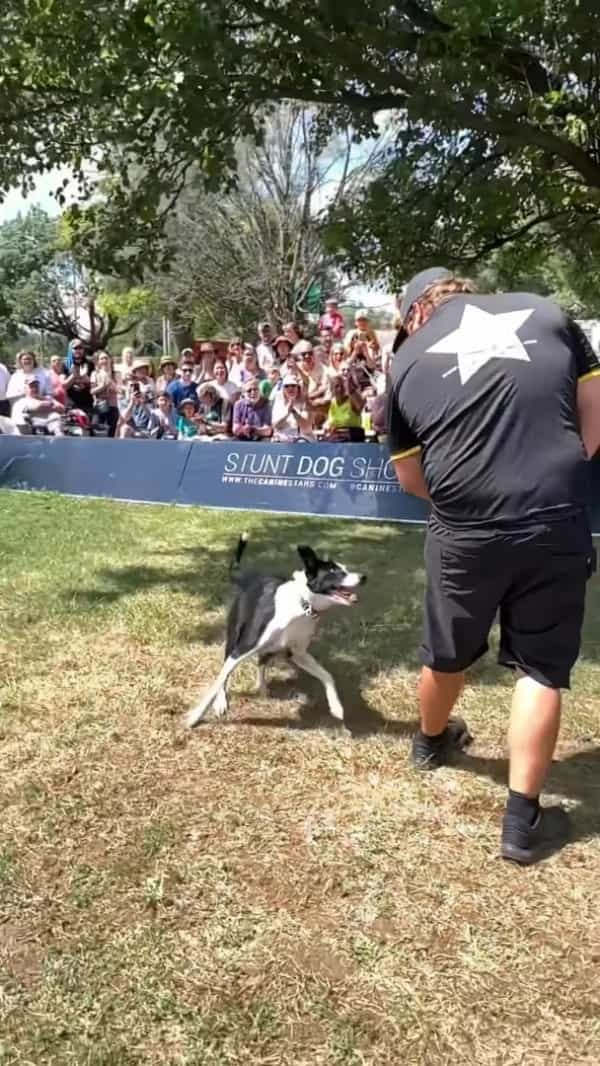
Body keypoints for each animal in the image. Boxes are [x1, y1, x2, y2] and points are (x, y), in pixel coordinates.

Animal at [185, 537, 366, 729]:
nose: (363, 577)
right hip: (234, 637)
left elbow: (327, 676)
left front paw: (336, 706)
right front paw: (196, 715)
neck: (302, 605)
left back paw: (262, 686)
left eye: (345, 569)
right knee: (227, 668)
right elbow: (219, 680)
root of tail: (248, 578)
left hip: (271, 648)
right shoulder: (241, 650)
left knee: (261, 662)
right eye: (333, 571)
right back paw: (221, 701)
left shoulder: (298, 654)